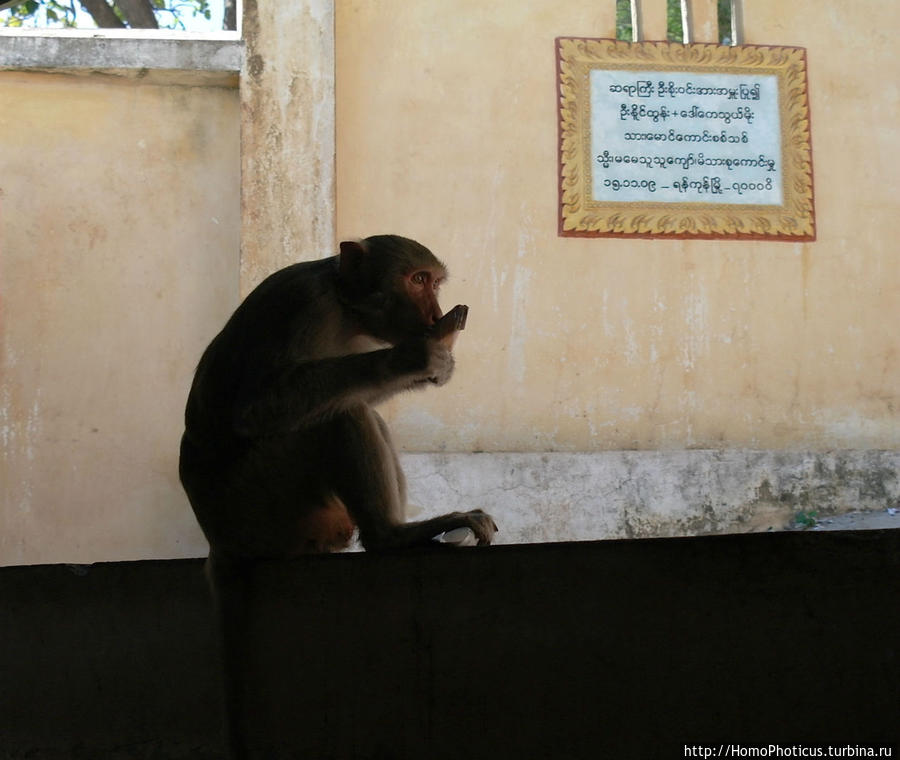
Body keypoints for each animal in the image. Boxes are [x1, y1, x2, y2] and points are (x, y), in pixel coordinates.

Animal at [178, 235, 496, 756]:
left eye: (434, 282)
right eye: (417, 280)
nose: (436, 313)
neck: (347, 309)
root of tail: (221, 539)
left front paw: (439, 362)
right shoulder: (305, 305)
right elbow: (260, 407)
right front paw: (414, 358)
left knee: (353, 406)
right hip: (265, 502)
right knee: (339, 415)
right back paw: (391, 535)